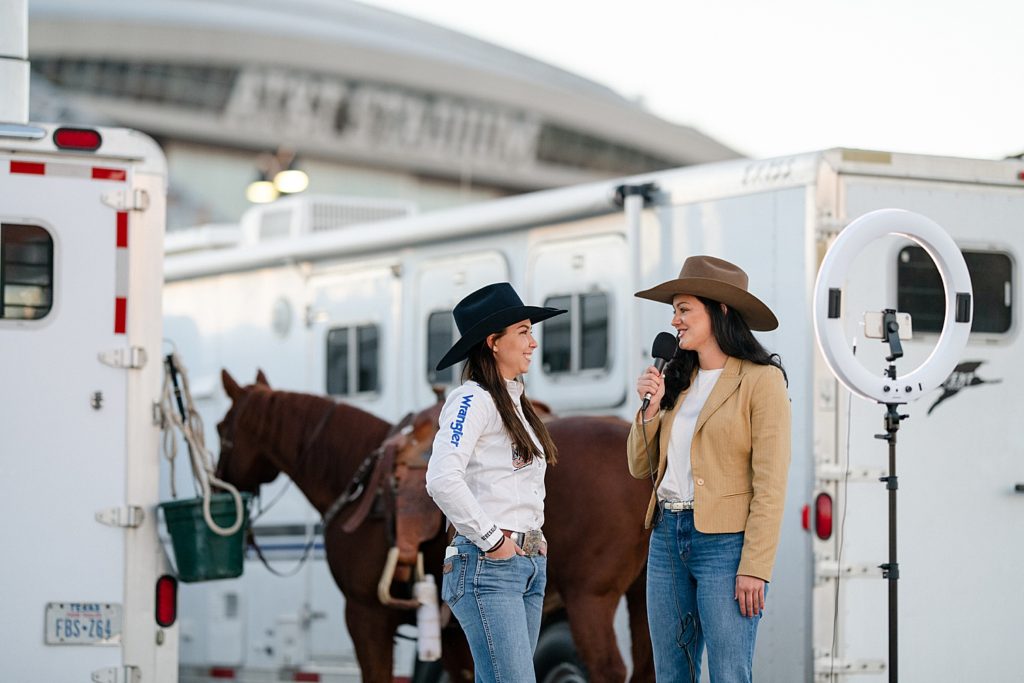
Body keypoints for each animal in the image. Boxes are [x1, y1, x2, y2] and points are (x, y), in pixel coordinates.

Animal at [216, 370, 651, 679]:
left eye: (222, 431)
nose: (219, 485)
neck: (358, 477)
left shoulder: (365, 614)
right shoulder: (454, 631)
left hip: (589, 599)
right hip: (642, 595)